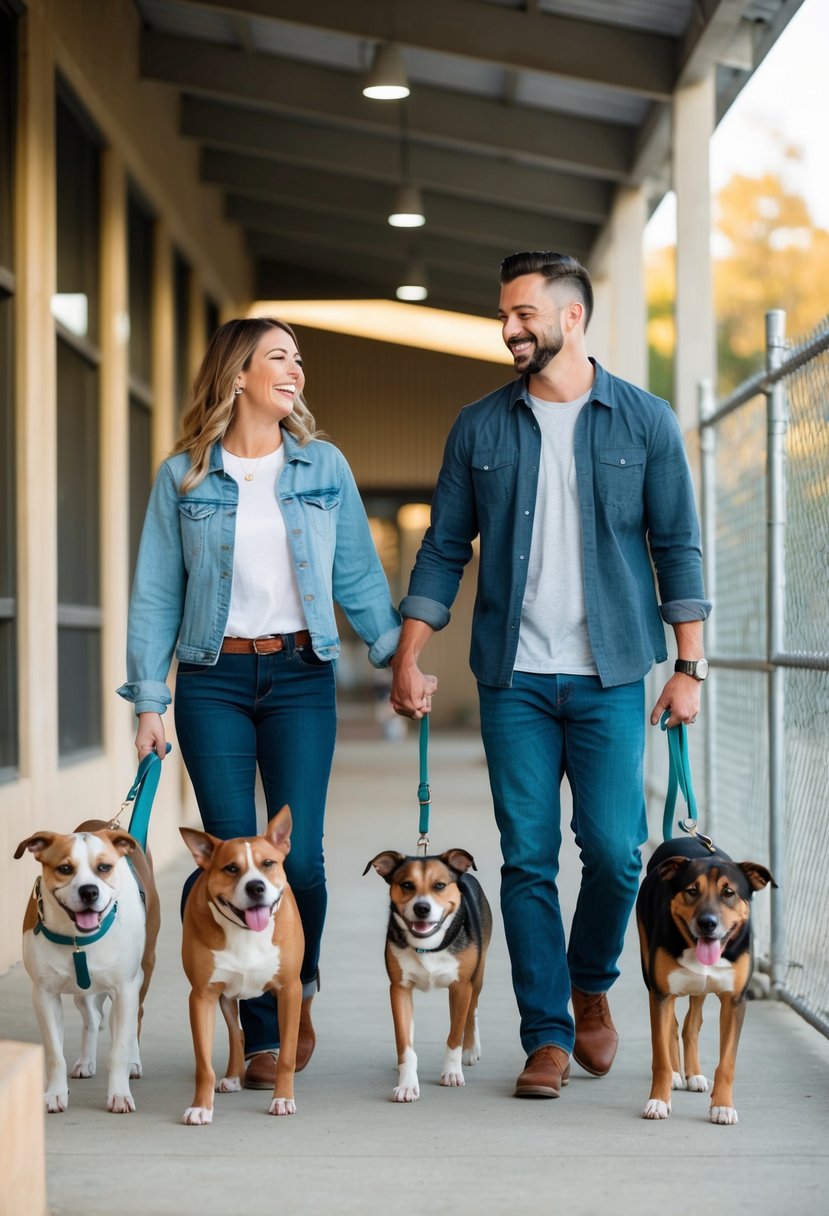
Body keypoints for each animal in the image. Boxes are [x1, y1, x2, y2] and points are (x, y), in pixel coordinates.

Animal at [14, 822, 159, 1113]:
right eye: (65, 868)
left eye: (104, 867)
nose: (89, 891)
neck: (77, 939)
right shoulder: (44, 995)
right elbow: (54, 1054)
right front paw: (55, 1094)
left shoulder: (125, 989)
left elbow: (119, 1048)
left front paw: (119, 1094)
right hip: (84, 992)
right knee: (92, 1018)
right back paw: (85, 1062)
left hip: (144, 971)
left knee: (133, 1017)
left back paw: (133, 1062)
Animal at [178, 802, 303, 1123]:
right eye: (231, 868)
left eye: (268, 863)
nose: (256, 887)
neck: (246, 931)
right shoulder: (202, 996)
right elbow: (203, 1064)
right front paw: (201, 1107)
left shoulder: (290, 990)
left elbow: (287, 1055)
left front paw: (283, 1098)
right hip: (224, 995)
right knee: (237, 1033)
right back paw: (234, 1076)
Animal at [362, 851, 491, 1108]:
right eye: (407, 885)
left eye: (439, 885)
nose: (422, 908)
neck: (428, 944)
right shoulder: (399, 988)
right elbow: (405, 1043)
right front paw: (407, 1084)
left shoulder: (461, 987)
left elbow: (455, 1035)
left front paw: (452, 1073)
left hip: (477, 974)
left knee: (471, 1009)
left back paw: (471, 1049)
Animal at [632, 841, 773, 1123]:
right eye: (692, 891)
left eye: (728, 892)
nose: (707, 923)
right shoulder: (661, 994)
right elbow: (660, 1054)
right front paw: (658, 1101)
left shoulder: (735, 1001)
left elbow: (727, 1061)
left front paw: (723, 1107)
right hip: (651, 974)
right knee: (673, 1026)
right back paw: (677, 1074)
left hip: (701, 988)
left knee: (691, 1024)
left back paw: (694, 1074)